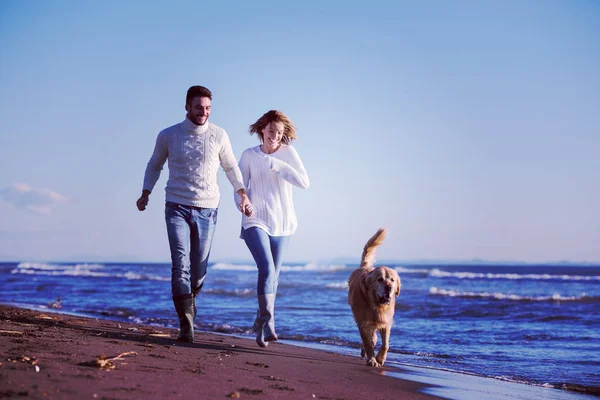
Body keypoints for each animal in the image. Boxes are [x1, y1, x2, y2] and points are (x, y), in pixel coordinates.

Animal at [350, 230, 400, 368]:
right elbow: (367, 342)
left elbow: (386, 344)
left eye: (392, 280)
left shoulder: (386, 322)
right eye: (380, 279)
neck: (376, 304)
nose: (389, 287)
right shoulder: (363, 322)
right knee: (369, 339)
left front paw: (380, 358)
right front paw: (372, 360)